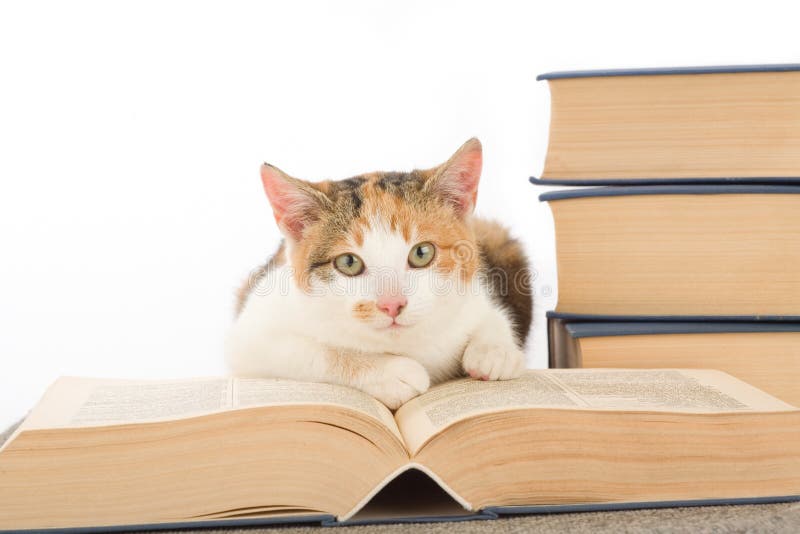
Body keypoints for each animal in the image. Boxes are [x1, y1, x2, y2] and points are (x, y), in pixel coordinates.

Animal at [225, 138, 536, 410]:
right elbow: (314, 353)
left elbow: (493, 315)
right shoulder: (251, 336)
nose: (392, 304)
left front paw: (495, 351)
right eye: (348, 262)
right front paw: (391, 371)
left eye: (422, 253)